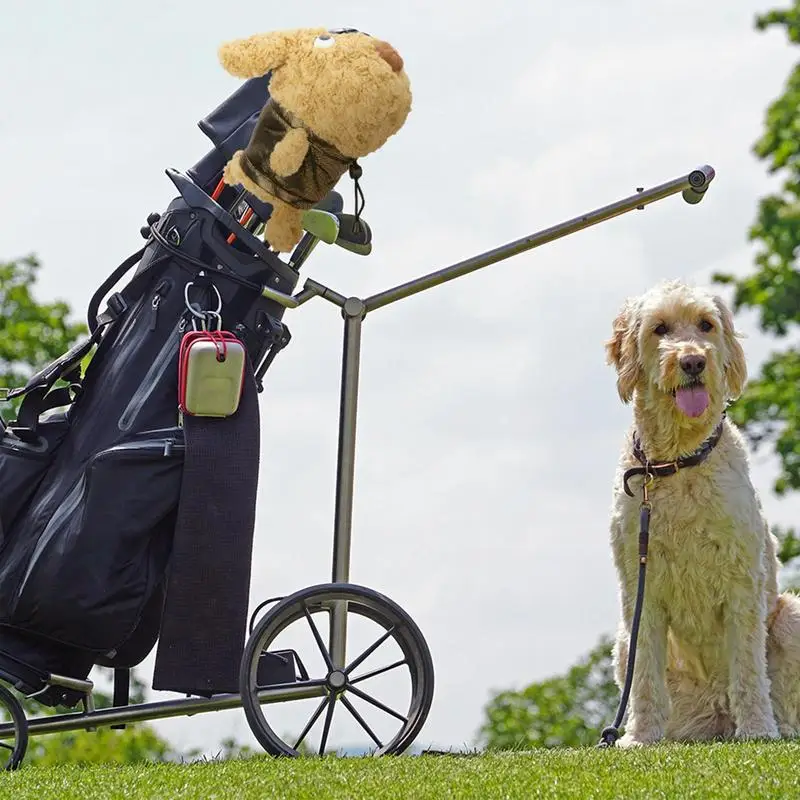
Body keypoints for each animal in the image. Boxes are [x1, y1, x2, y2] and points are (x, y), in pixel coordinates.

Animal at [608, 280, 800, 744]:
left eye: (706, 325)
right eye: (659, 328)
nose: (693, 361)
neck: (679, 461)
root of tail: (715, 718)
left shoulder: (742, 582)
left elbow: (748, 666)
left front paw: (757, 730)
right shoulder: (639, 588)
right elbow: (645, 674)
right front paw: (641, 738)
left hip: (792, 618)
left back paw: (776, 727)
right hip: (622, 640)